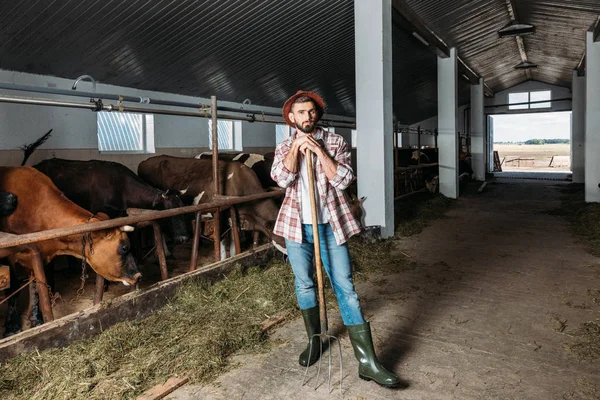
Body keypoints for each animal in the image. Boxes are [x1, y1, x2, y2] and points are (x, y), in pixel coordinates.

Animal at [0, 166, 141, 334]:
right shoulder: (11, 255)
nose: (138, 276)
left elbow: (37, 287)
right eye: (124, 247)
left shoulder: (39, 256)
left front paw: (37, 318)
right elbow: (14, 288)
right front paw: (12, 325)